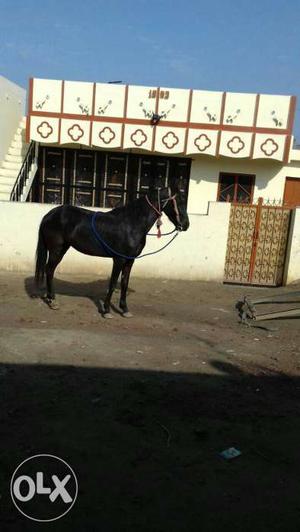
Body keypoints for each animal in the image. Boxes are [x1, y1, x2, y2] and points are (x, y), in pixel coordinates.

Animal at [35, 187, 189, 318]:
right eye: (179, 202)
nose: (186, 225)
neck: (131, 223)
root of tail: (49, 214)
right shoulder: (119, 259)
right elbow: (113, 283)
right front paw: (107, 310)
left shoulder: (130, 260)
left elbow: (124, 283)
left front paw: (125, 309)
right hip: (56, 249)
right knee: (49, 269)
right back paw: (52, 301)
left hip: (62, 249)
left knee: (49, 270)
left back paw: (50, 299)